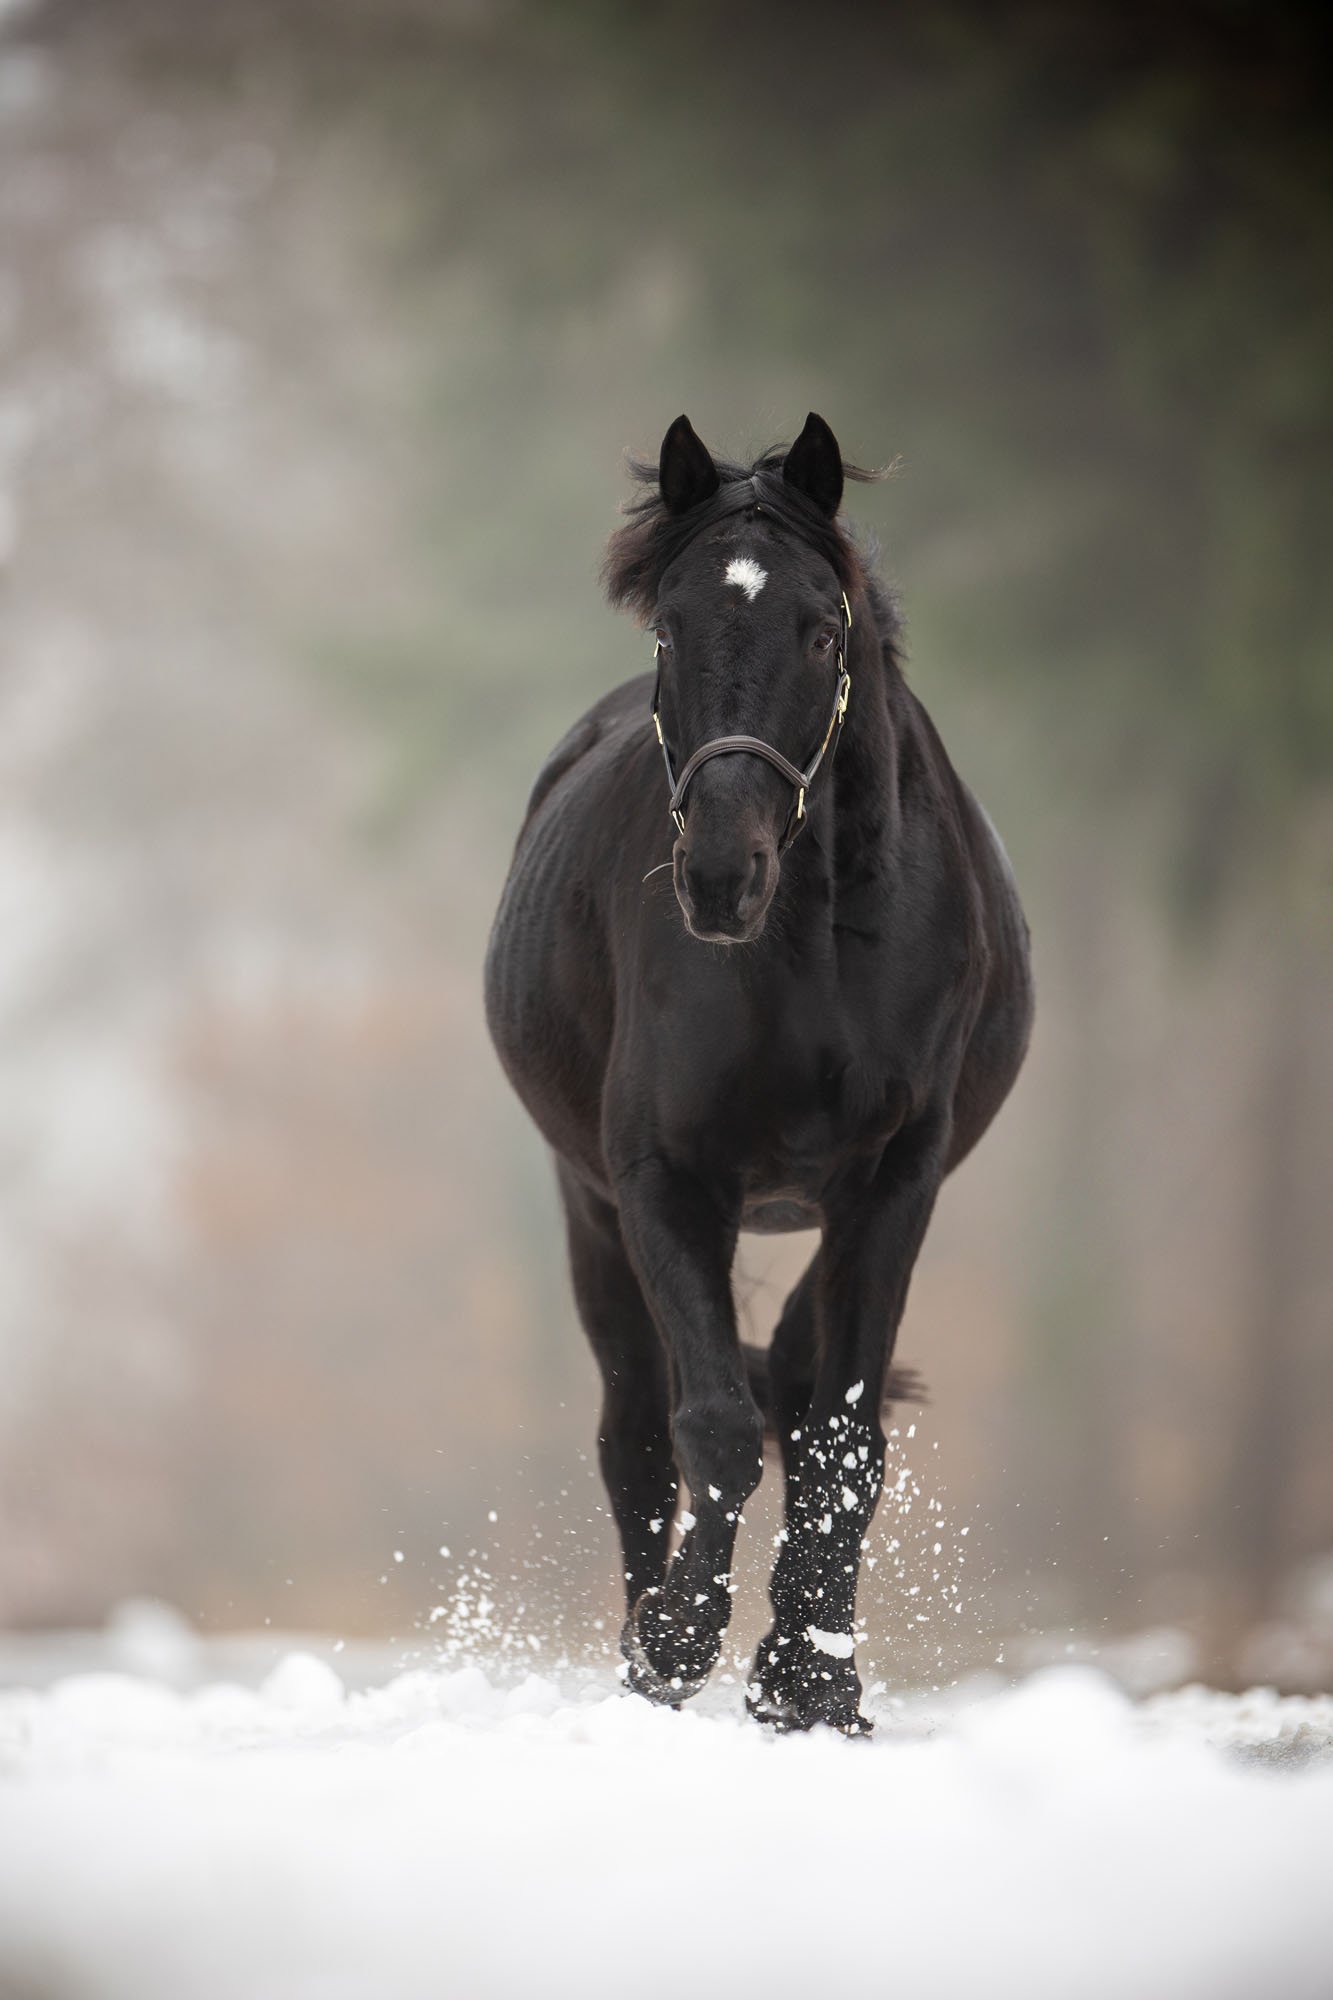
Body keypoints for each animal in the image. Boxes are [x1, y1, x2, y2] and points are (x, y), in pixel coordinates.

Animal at [485, 413, 1032, 1732]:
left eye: (820, 630)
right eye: (668, 627)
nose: (720, 875)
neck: (812, 944)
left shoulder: (895, 1179)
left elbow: (839, 1433)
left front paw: (811, 1675)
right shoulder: (662, 1177)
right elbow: (714, 1427)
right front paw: (680, 1642)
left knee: (790, 1369)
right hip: (592, 1213)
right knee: (637, 1432)